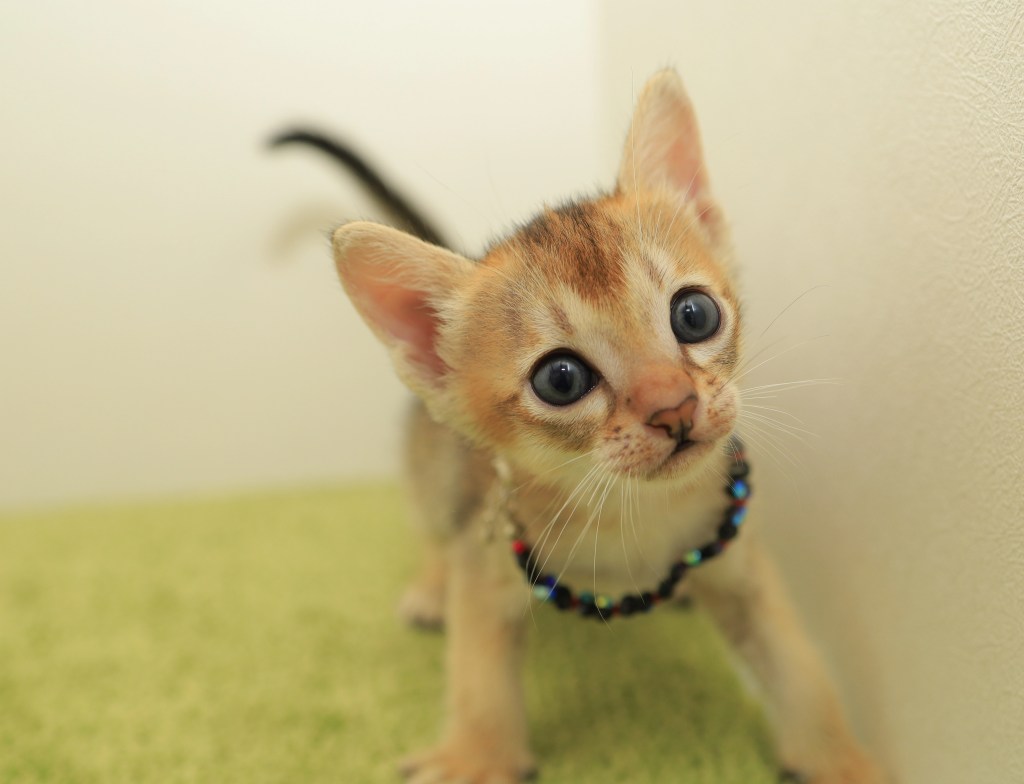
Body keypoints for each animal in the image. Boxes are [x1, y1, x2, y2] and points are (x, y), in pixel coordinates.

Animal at [282, 70, 887, 784]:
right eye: (561, 380)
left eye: (694, 314)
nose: (674, 407)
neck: (636, 517)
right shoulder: (489, 556)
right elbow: (477, 674)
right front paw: (476, 755)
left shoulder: (742, 564)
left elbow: (801, 670)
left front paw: (841, 759)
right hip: (435, 468)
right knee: (436, 524)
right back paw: (432, 586)